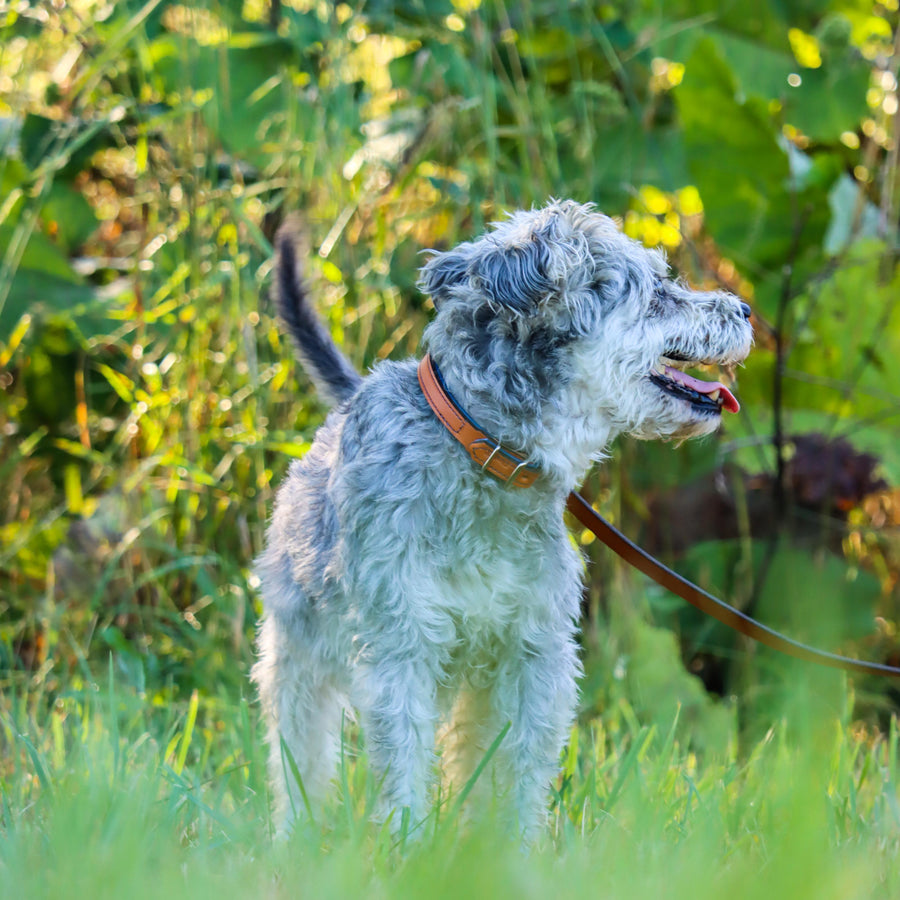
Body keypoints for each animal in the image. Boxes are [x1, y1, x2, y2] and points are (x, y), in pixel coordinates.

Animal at [248, 197, 752, 836]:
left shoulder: (534, 654)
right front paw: (405, 845)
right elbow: (403, 764)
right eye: (659, 289)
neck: (486, 456)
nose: (746, 307)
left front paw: (510, 849)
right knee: (301, 760)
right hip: (298, 661)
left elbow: (518, 773)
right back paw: (298, 838)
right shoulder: (401, 650)